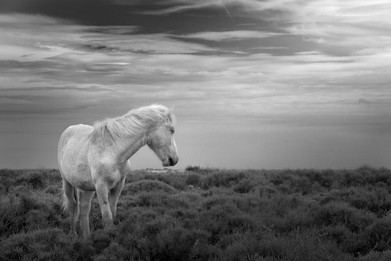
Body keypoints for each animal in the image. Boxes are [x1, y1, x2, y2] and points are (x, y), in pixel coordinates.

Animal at [57, 103, 179, 238]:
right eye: (172, 130)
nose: (174, 159)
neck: (112, 151)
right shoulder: (101, 186)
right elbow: (107, 217)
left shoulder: (119, 185)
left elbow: (113, 213)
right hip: (67, 182)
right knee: (73, 206)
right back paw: (73, 235)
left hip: (87, 188)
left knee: (84, 209)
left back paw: (86, 238)